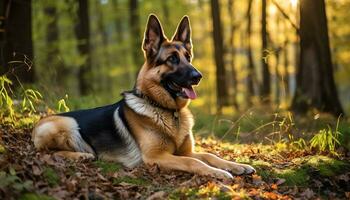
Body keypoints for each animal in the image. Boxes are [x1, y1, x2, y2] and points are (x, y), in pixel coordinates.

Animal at [32, 14, 256, 180]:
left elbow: (209, 155)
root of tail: (38, 123)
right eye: (172, 59)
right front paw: (219, 173)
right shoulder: (157, 156)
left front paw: (236, 165)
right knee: (46, 152)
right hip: (67, 124)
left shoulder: (184, 151)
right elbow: (193, 161)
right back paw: (82, 155)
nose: (198, 76)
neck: (167, 111)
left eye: (188, 57)